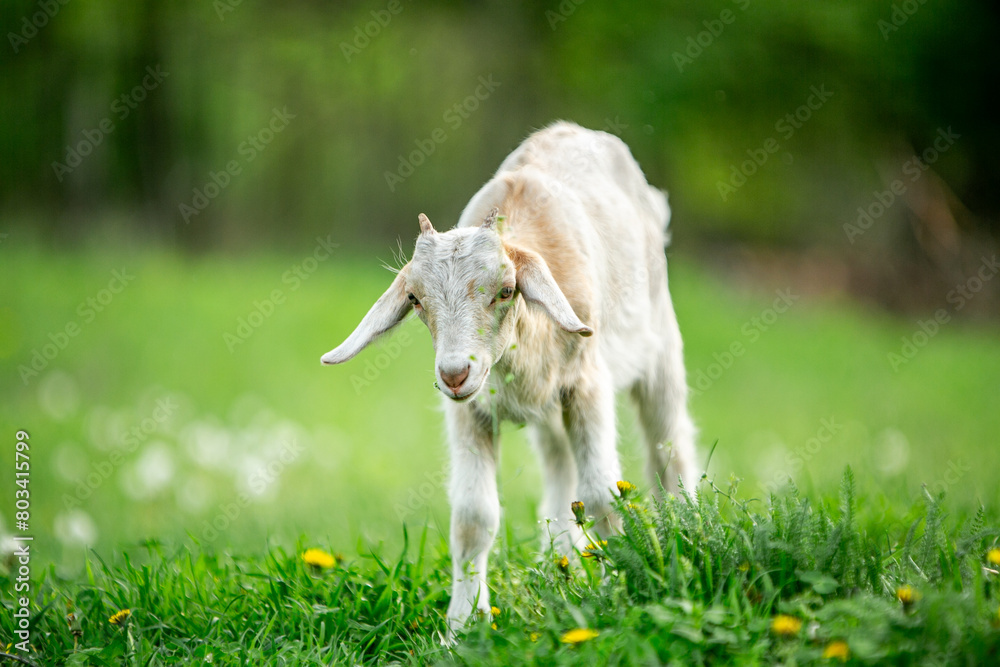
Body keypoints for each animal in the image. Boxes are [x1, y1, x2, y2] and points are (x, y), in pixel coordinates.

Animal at [321, 121, 698, 633]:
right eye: (415, 299)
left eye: (506, 290)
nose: (454, 373)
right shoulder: (471, 411)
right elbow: (473, 516)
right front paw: (462, 625)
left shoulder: (588, 385)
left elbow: (603, 496)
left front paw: (613, 595)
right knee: (560, 463)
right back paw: (560, 562)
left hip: (659, 341)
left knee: (668, 442)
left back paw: (685, 524)